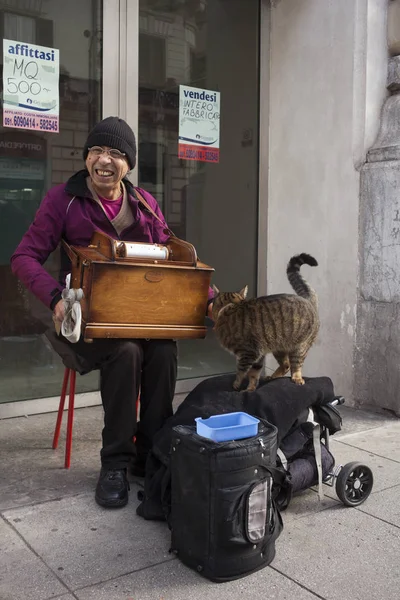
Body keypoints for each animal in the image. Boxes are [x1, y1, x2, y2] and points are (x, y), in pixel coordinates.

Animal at [212, 254, 318, 392]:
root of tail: (307, 299)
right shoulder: (258, 355)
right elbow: (253, 373)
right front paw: (250, 389)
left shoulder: (249, 352)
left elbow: (241, 371)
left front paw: (237, 385)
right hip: (279, 348)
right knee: (286, 365)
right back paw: (272, 377)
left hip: (299, 347)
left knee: (295, 365)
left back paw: (297, 378)